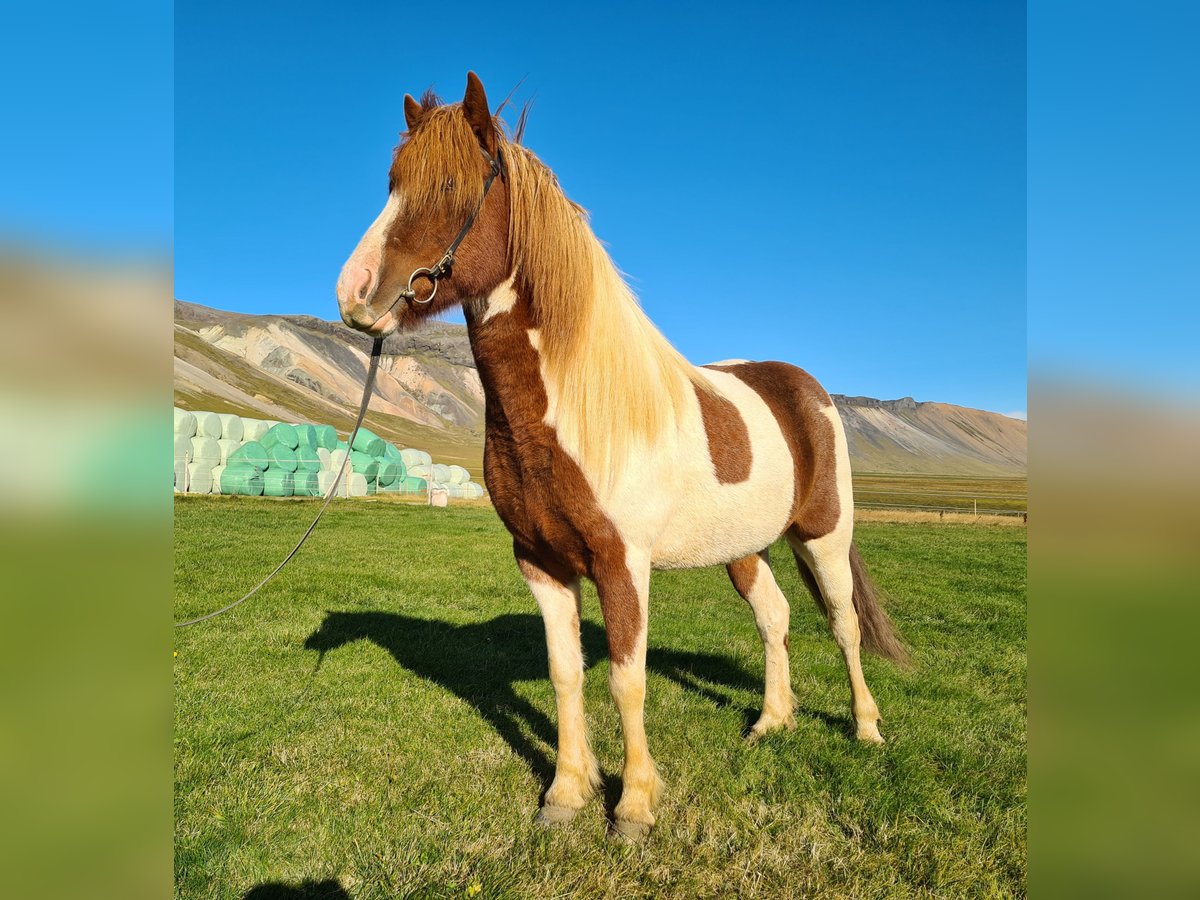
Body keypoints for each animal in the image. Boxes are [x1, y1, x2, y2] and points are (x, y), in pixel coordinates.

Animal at [333, 74, 902, 844]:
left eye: (451, 184)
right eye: (392, 183)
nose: (354, 293)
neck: (572, 409)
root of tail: (806, 389)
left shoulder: (621, 562)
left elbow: (625, 680)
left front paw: (634, 806)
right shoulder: (541, 562)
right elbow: (566, 674)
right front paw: (566, 794)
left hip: (824, 535)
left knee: (843, 626)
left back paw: (867, 729)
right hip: (745, 548)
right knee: (776, 618)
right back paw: (770, 722)